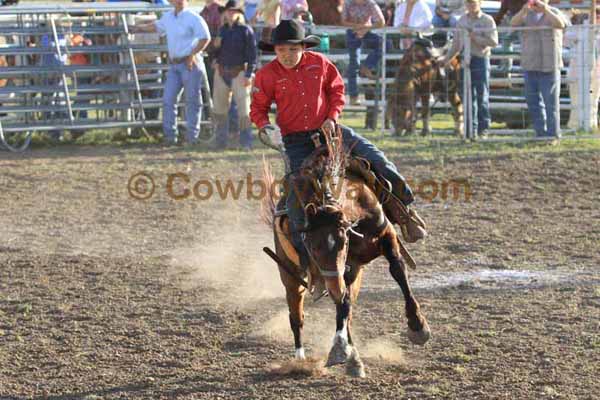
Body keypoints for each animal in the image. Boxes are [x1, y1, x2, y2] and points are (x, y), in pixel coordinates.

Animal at [262, 130, 432, 378]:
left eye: (343, 242)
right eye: (310, 246)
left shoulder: (386, 238)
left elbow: (398, 271)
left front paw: (418, 326)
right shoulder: (342, 269)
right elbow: (342, 304)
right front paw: (340, 350)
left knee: (347, 306)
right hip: (291, 278)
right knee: (298, 317)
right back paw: (303, 360)